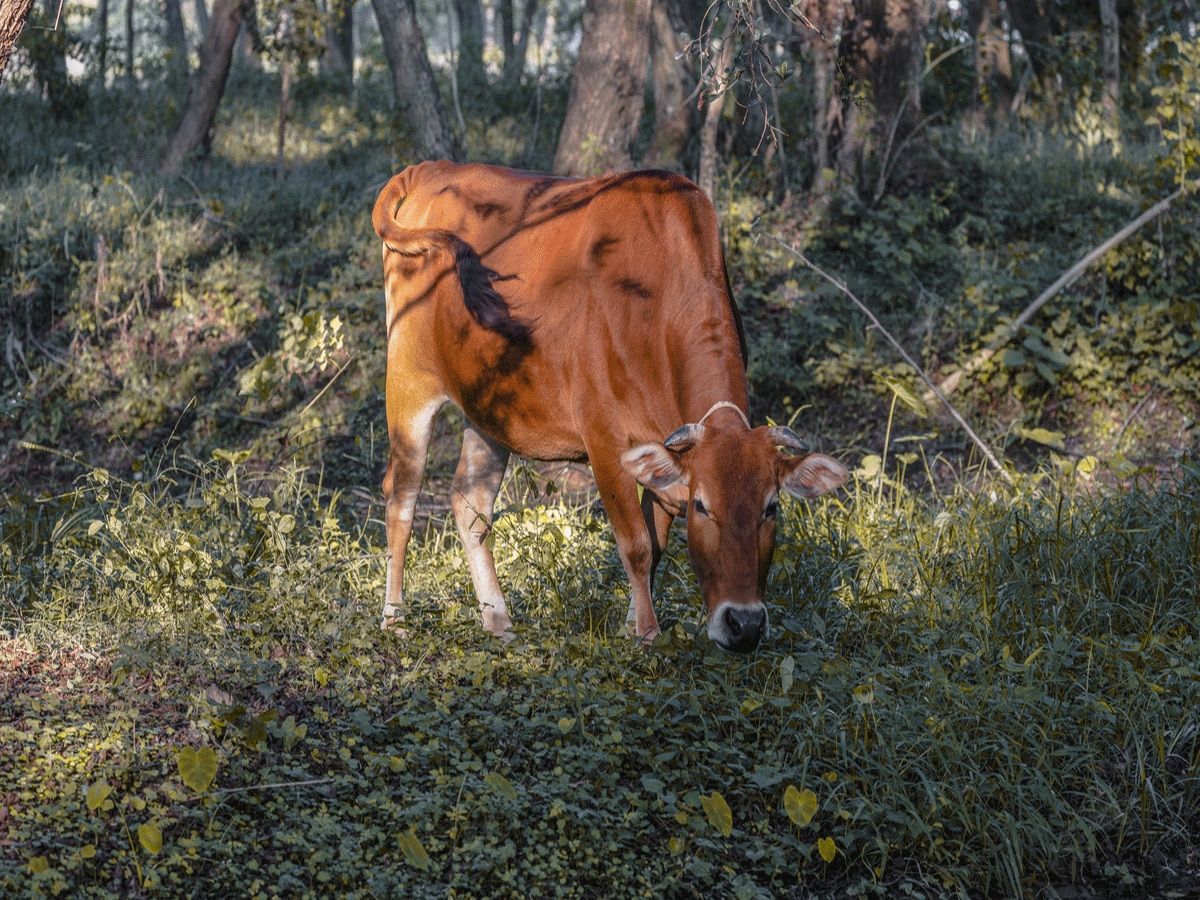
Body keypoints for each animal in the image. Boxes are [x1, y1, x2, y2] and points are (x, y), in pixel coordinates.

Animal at [369, 162, 849, 652]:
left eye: (771, 507)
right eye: (702, 506)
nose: (744, 624)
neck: (654, 307)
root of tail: (427, 169)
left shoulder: (663, 457)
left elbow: (655, 547)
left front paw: (631, 625)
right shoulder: (604, 440)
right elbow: (636, 545)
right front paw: (649, 635)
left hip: (488, 412)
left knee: (470, 504)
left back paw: (498, 621)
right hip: (409, 382)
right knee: (401, 496)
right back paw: (393, 617)